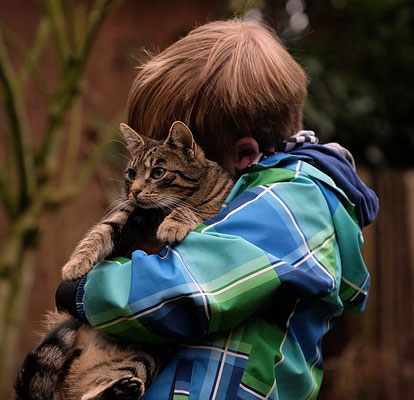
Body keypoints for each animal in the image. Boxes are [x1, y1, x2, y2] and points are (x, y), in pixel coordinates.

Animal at [15, 122, 233, 400]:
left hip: (143, 358)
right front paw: (75, 265)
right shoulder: (123, 214)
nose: (134, 190)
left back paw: (122, 388)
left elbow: (190, 209)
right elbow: (97, 234)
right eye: (131, 173)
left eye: (158, 172)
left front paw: (172, 225)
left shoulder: (211, 208)